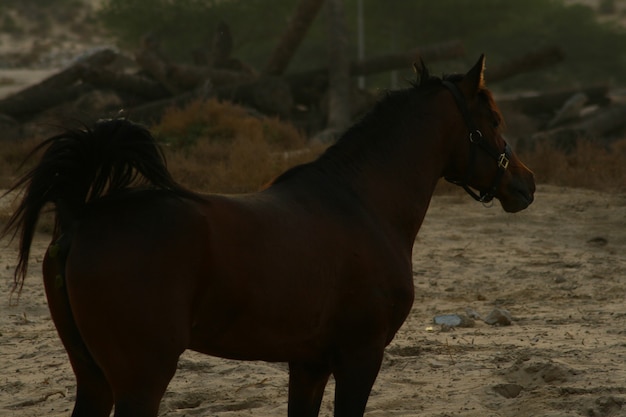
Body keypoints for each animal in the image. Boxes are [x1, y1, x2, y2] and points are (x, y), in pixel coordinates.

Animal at [4, 56, 532, 416]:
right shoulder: (360, 357)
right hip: (141, 381)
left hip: (93, 378)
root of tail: (81, 218)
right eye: (493, 121)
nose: (525, 185)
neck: (364, 205)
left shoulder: (309, 364)